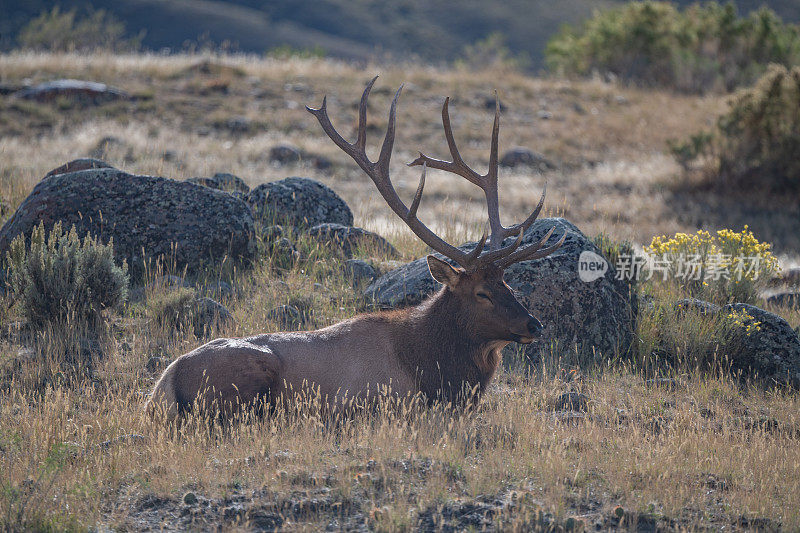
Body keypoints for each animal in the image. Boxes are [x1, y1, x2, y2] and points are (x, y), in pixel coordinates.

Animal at [148, 77, 564, 422]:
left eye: (509, 286)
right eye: (481, 293)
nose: (535, 324)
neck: (432, 369)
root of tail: (162, 387)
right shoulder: (371, 401)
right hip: (248, 383)